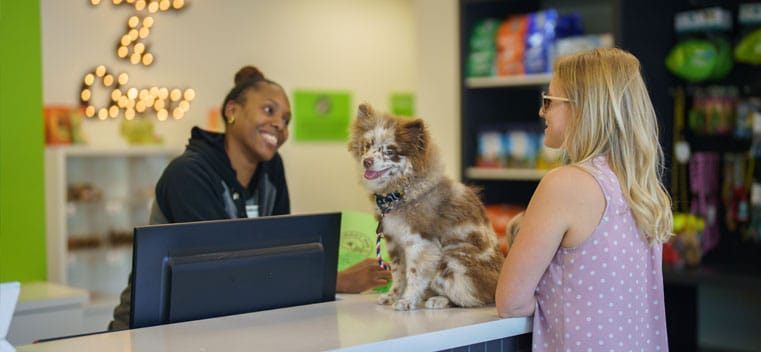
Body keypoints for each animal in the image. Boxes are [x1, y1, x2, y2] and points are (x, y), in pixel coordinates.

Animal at [346, 103, 502, 310]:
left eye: (389, 151)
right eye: (367, 145)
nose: (367, 161)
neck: (399, 193)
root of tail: (495, 288)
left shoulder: (419, 243)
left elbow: (414, 275)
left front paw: (407, 301)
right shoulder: (394, 242)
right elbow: (398, 275)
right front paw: (392, 296)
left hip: (452, 260)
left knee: (469, 298)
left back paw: (439, 300)